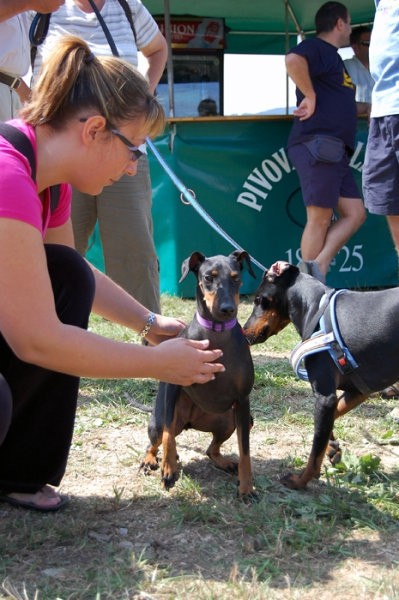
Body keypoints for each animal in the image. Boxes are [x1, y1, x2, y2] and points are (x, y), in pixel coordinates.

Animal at [142, 251, 258, 500]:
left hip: (231, 419)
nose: (227, 309)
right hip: (160, 419)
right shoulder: (174, 385)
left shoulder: (242, 401)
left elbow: (245, 451)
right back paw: (153, 460)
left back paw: (224, 462)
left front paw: (246, 488)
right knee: (158, 439)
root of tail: (190, 424)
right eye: (208, 277)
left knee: (210, 449)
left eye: (236, 277)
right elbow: (168, 436)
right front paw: (168, 467)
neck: (217, 332)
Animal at [244, 260, 399, 490]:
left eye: (258, 300)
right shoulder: (357, 390)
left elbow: (314, 453)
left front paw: (300, 481)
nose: (243, 332)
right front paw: (332, 447)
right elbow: (329, 422)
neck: (315, 308)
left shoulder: (325, 396)